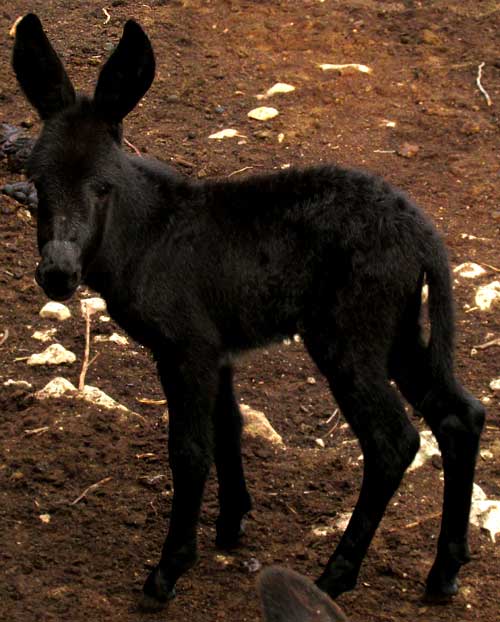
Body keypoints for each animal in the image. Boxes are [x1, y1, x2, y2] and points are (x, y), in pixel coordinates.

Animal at [13, 13, 484, 616]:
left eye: (102, 187)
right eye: (37, 183)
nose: (57, 275)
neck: (144, 234)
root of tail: (425, 235)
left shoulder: (186, 346)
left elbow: (190, 450)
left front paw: (168, 571)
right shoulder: (218, 349)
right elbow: (229, 426)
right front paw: (232, 524)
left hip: (348, 335)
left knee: (393, 440)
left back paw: (337, 573)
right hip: (397, 328)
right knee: (460, 415)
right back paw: (443, 573)